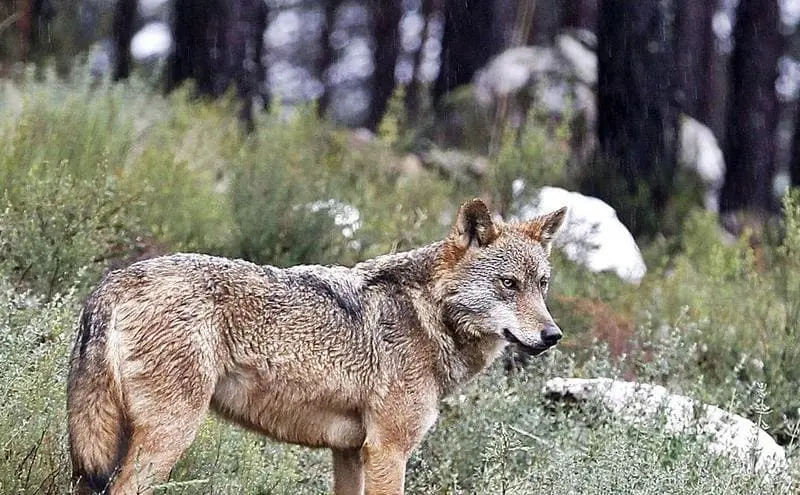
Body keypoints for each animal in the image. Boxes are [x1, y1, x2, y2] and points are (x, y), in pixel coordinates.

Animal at [67, 198, 567, 495]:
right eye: (508, 284)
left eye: (542, 285)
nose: (553, 335)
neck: (427, 316)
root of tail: (115, 280)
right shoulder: (388, 451)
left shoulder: (350, 452)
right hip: (170, 436)